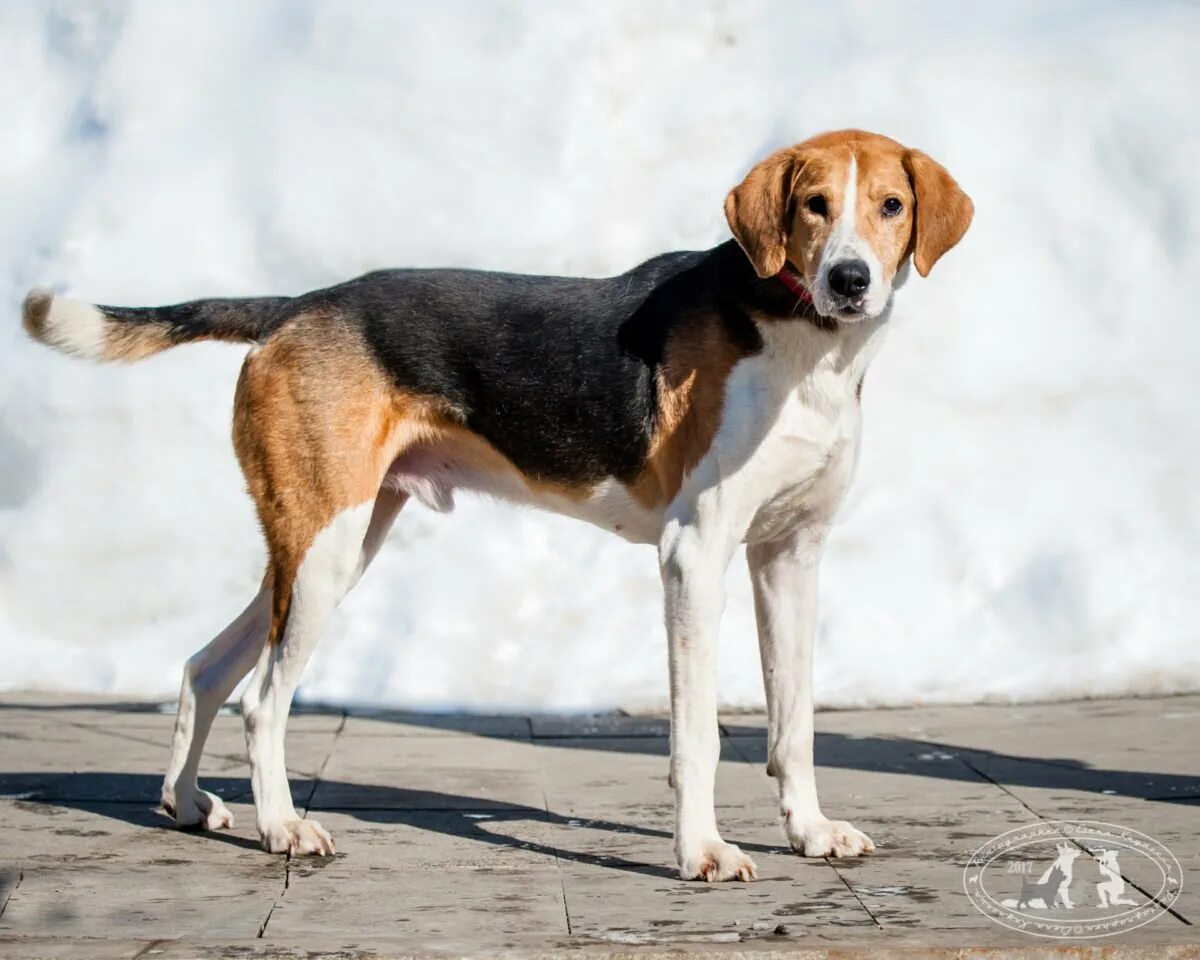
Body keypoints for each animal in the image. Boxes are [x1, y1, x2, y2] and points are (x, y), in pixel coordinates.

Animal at [21, 129, 974, 883]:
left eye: (890, 205)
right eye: (814, 206)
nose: (849, 279)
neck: (805, 341)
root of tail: (294, 306)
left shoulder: (789, 556)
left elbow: (795, 723)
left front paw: (810, 833)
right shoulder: (695, 555)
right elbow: (698, 734)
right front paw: (701, 852)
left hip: (327, 543)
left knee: (204, 669)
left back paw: (186, 805)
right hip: (324, 552)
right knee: (262, 700)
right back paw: (284, 827)